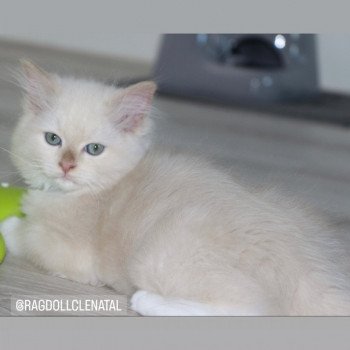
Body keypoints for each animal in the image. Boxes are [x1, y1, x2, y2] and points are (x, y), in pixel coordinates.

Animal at [0, 58, 350, 316]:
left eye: (94, 149)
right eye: (53, 140)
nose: (66, 166)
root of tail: (305, 269)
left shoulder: (69, 252)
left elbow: (25, 235)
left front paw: (10, 225)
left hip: (157, 254)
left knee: (251, 310)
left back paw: (146, 300)